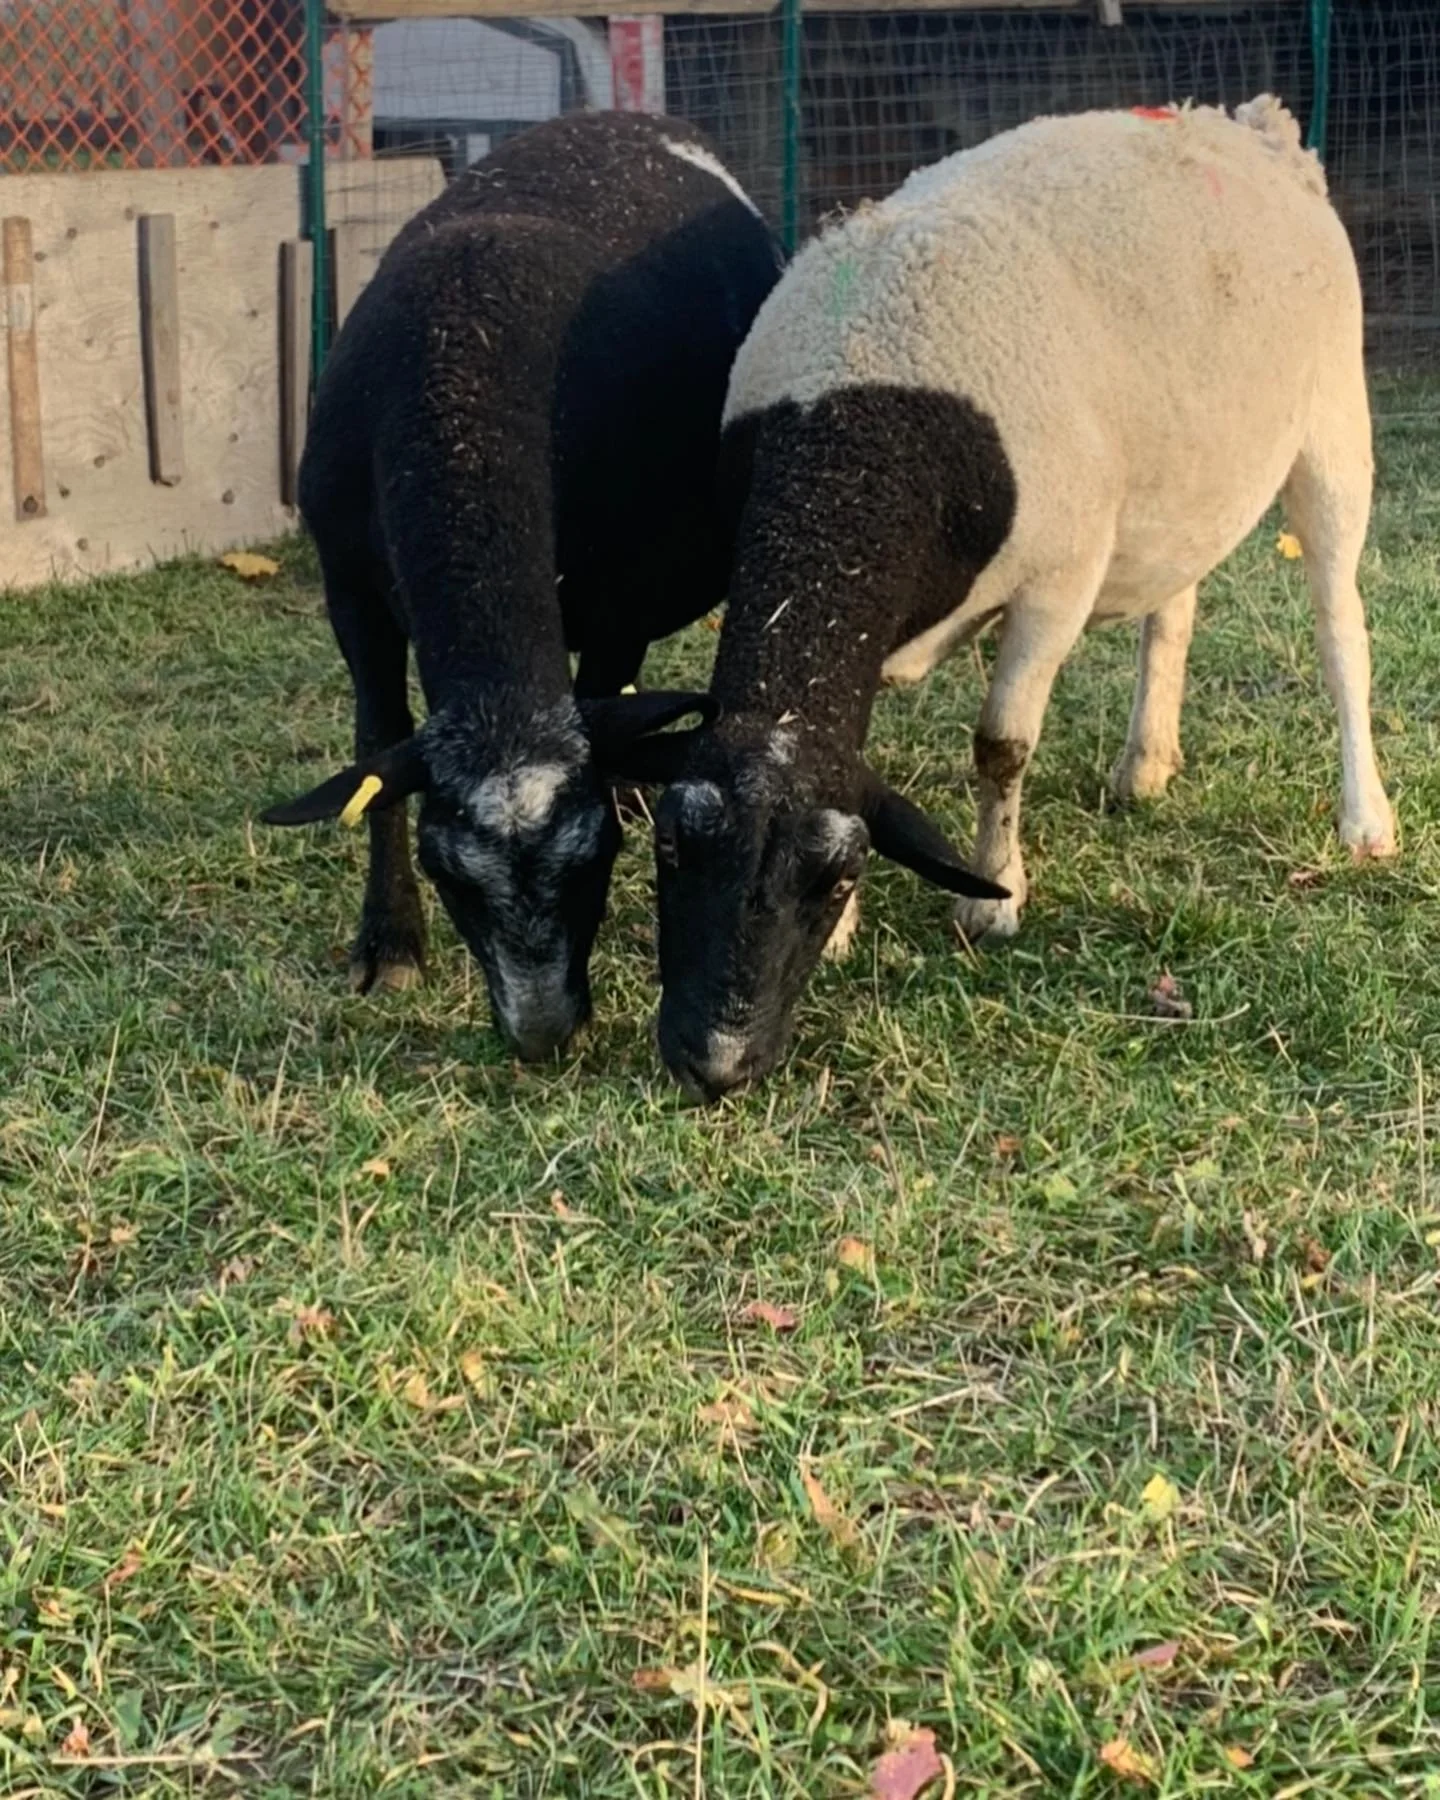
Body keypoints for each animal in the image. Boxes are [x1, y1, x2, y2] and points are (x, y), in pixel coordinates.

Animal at [259, 111, 781, 1061]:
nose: (542, 1037)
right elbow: (378, 746)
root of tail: (635, 119)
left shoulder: (619, 596)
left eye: (596, 856)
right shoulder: (350, 594)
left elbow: (603, 697)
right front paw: (388, 944)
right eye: (448, 875)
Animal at [611, 96, 1396, 1100]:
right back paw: (1146, 764)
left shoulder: (1056, 585)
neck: (852, 437)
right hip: (1177, 484)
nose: (715, 1061)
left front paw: (996, 900)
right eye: (671, 849)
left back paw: (1365, 819)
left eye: (830, 879)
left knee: (1342, 633)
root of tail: (1251, 126)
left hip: (1333, 426)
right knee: (1174, 606)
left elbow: (1001, 749)